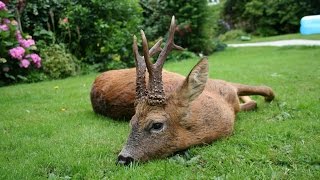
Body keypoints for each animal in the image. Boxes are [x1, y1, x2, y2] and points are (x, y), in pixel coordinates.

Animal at [90, 16, 276, 165]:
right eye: (131, 122)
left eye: (156, 125)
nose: (123, 158)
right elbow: (257, 98)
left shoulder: (223, 85)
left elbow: (266, 89)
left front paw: (264, 98)